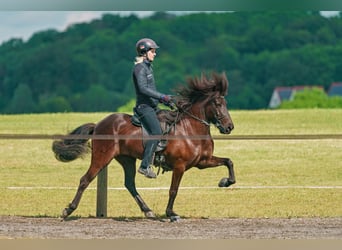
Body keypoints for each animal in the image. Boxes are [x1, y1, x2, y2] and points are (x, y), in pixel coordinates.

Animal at [52, 71, 235, 221]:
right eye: (218, 103)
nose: (229, 127)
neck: (190, 129)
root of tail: (98, 125)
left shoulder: (202, 162)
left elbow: (229, 161)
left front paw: (225, 182)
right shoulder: (180, 166)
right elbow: (173, 190)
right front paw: (171, 213)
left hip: (127, 159)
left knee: (129, 184)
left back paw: (148, 211)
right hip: (102, 157)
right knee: (85, 180)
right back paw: (67, 210)